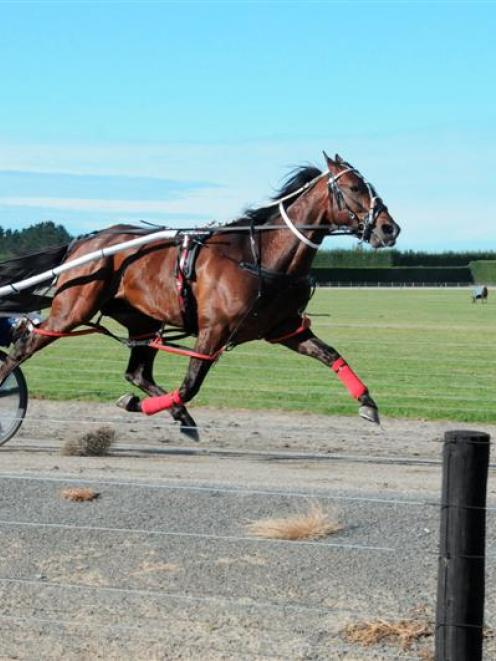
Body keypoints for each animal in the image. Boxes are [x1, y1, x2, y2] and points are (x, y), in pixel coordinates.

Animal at [0, 154, 400, 438]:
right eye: (354, 187)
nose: (389, 228)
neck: (260, 255)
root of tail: (81, 242)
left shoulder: (285, 329)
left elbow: (332, 355)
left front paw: (368, 404)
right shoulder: (214, 331)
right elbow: (191, 384)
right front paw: (157, 409)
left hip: (143, 320)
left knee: (136, 373)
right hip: (72, 310)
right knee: (21, 349)